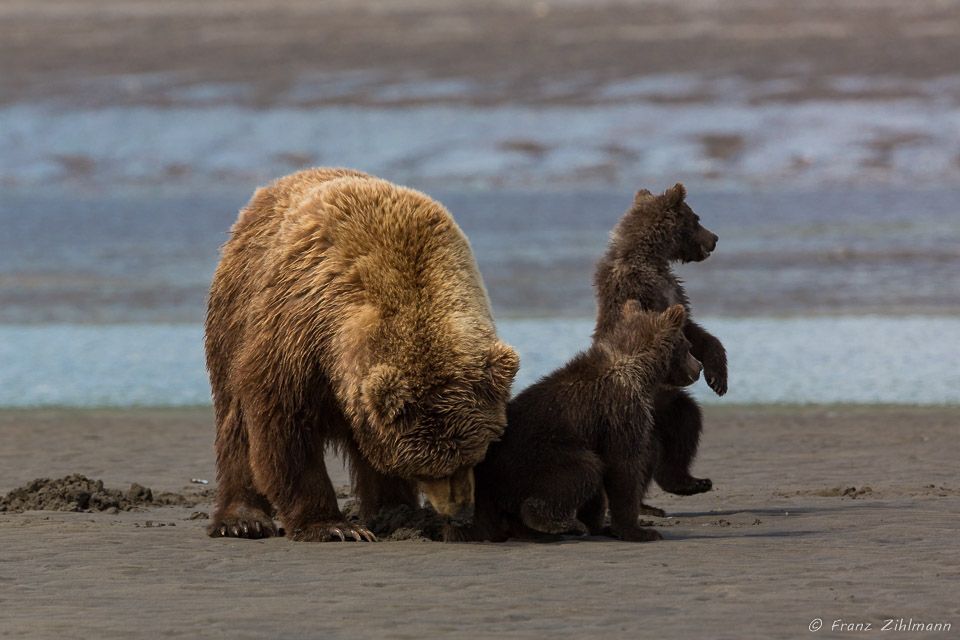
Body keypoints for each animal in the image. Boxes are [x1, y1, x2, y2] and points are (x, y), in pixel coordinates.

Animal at [202, 166, 516, 540]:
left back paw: (395, 510)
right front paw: (332, 526)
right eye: (431, 468)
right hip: (235, 312)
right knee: (235, 424)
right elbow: (285, 425)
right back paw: (242, 519)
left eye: (476, 455)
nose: (462, 514)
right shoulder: (298, 329)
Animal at [446, 302, 700, 544]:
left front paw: (603, 525)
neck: (638, 368)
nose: (698, 367)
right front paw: (638, 531)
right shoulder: (620, 410)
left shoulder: (600, 426)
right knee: (582, 469)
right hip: (534, 458)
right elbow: (623, 466)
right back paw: (560, 524)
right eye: (688, 346)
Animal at [592, 184, 728, 516]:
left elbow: (693, 330)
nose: (715, 237)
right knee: (640, 457)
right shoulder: (640, 291)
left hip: (669, 408)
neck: (651, 258)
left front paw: (718, 378)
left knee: (686, 426)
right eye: (697, 218)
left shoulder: (674, 293)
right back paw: (642, 506)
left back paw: (689, 482)